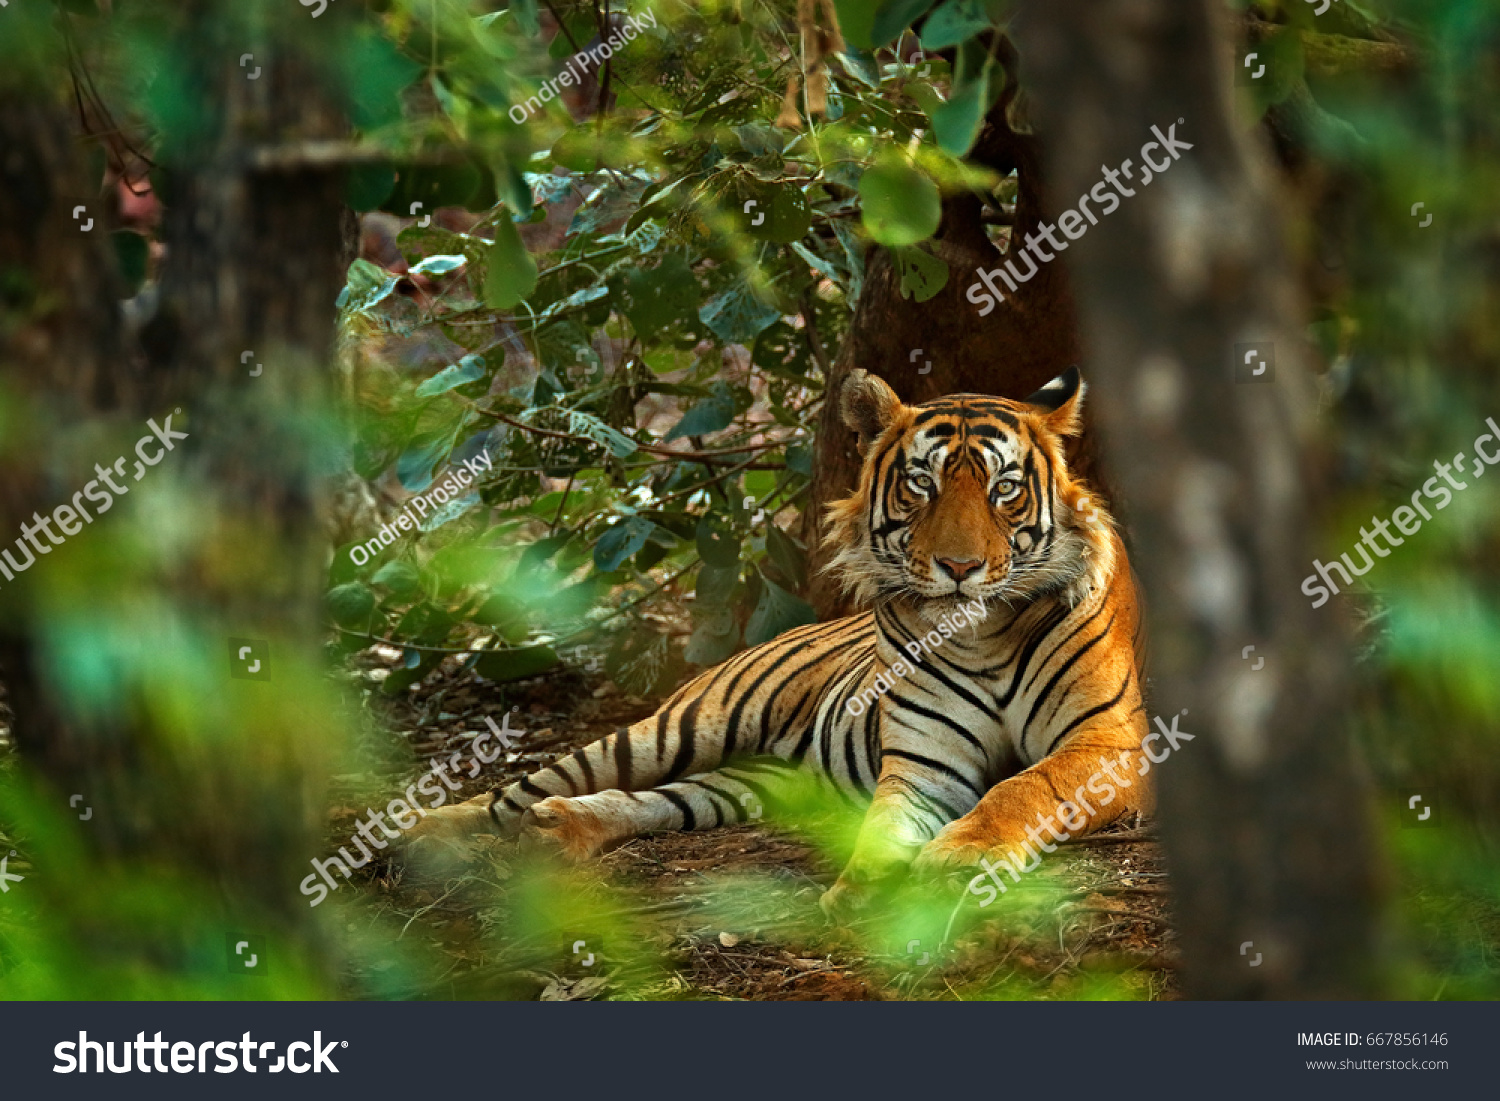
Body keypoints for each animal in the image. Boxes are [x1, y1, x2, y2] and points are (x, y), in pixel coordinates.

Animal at [405, 366, 1151, 915]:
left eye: (1004, 490)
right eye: (922, 485)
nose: (961, 567)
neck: (981, 636)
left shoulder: (1107, 743)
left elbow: (1025, 787)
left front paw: (961, 857)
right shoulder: (923, 763)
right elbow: (884, 827)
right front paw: (863, 891)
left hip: (747, 781)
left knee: (656, 799)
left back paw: (559, 828)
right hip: (675, 729)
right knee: (517, 791)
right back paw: (421, 834)